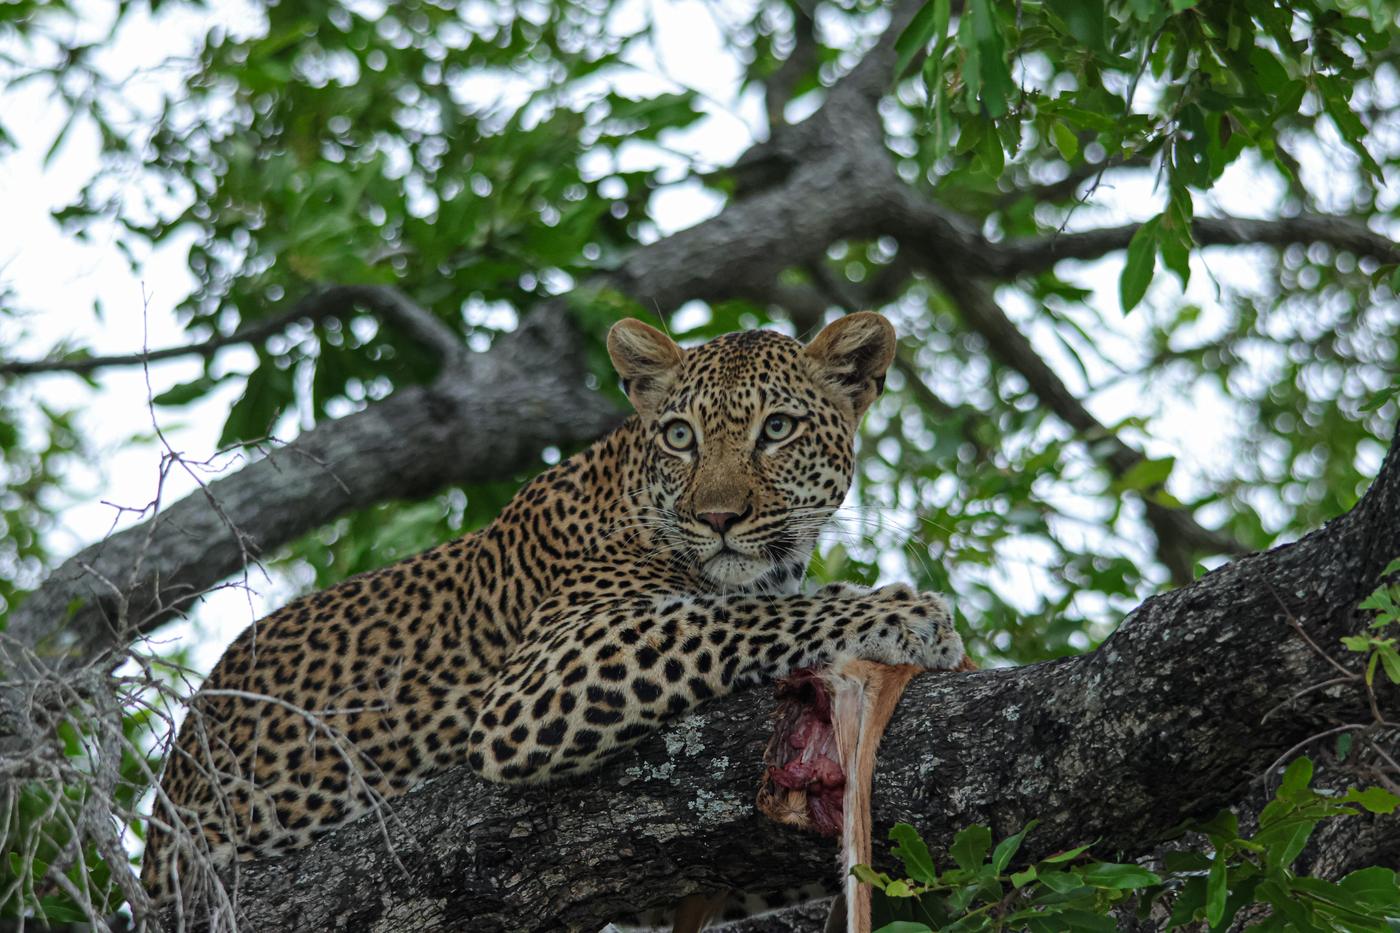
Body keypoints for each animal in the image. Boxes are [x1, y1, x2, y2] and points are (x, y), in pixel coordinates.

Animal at [141, 311, 967, 921]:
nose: (719, 518)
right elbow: (724, 617)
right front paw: (903, 613)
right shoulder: (538, 681)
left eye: (777, 429)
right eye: (681, 436)